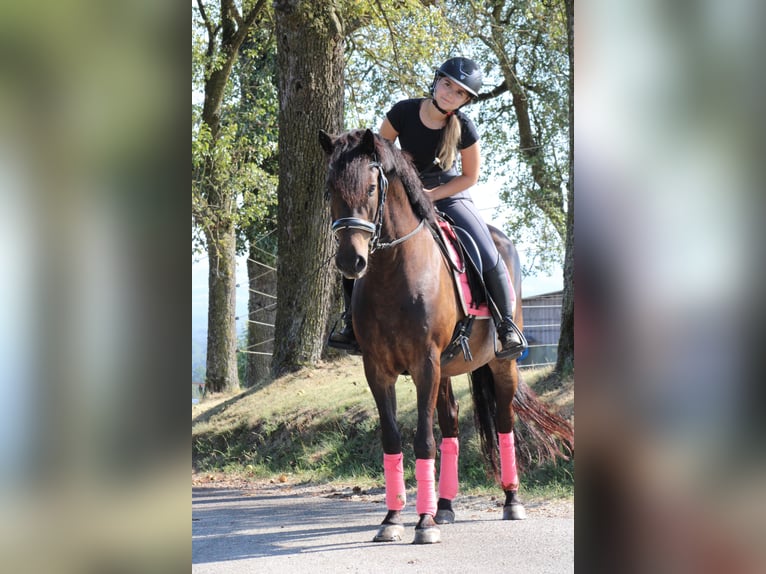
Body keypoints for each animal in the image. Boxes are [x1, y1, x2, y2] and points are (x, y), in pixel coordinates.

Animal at [319, 128, 573, 544]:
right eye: (330, 190)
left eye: (371, 188)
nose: (350, 261)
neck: (393, 271)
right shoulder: (379, 369)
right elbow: (393, 439)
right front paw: (393, 519)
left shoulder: (425, 363)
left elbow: (424, 439)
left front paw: (422, 524)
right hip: (447, 368)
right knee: (451, 422)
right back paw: (445, 507)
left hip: (499, 365)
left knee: (504, 421)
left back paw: (510, 501)